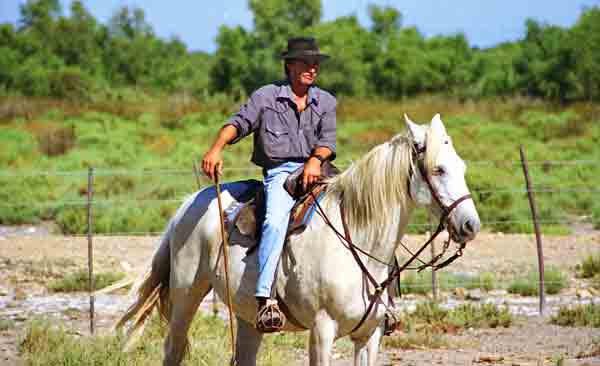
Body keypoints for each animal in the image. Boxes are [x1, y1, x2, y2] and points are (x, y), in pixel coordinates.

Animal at [117, 113, 480, 364]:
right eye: (438, 170)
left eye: (462, 167)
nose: (470, 225)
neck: (358, 242)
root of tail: (189, 202)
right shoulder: (322, 331)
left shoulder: (370, 336)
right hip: (186, 294)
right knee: (173, 348)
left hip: (247, 318)